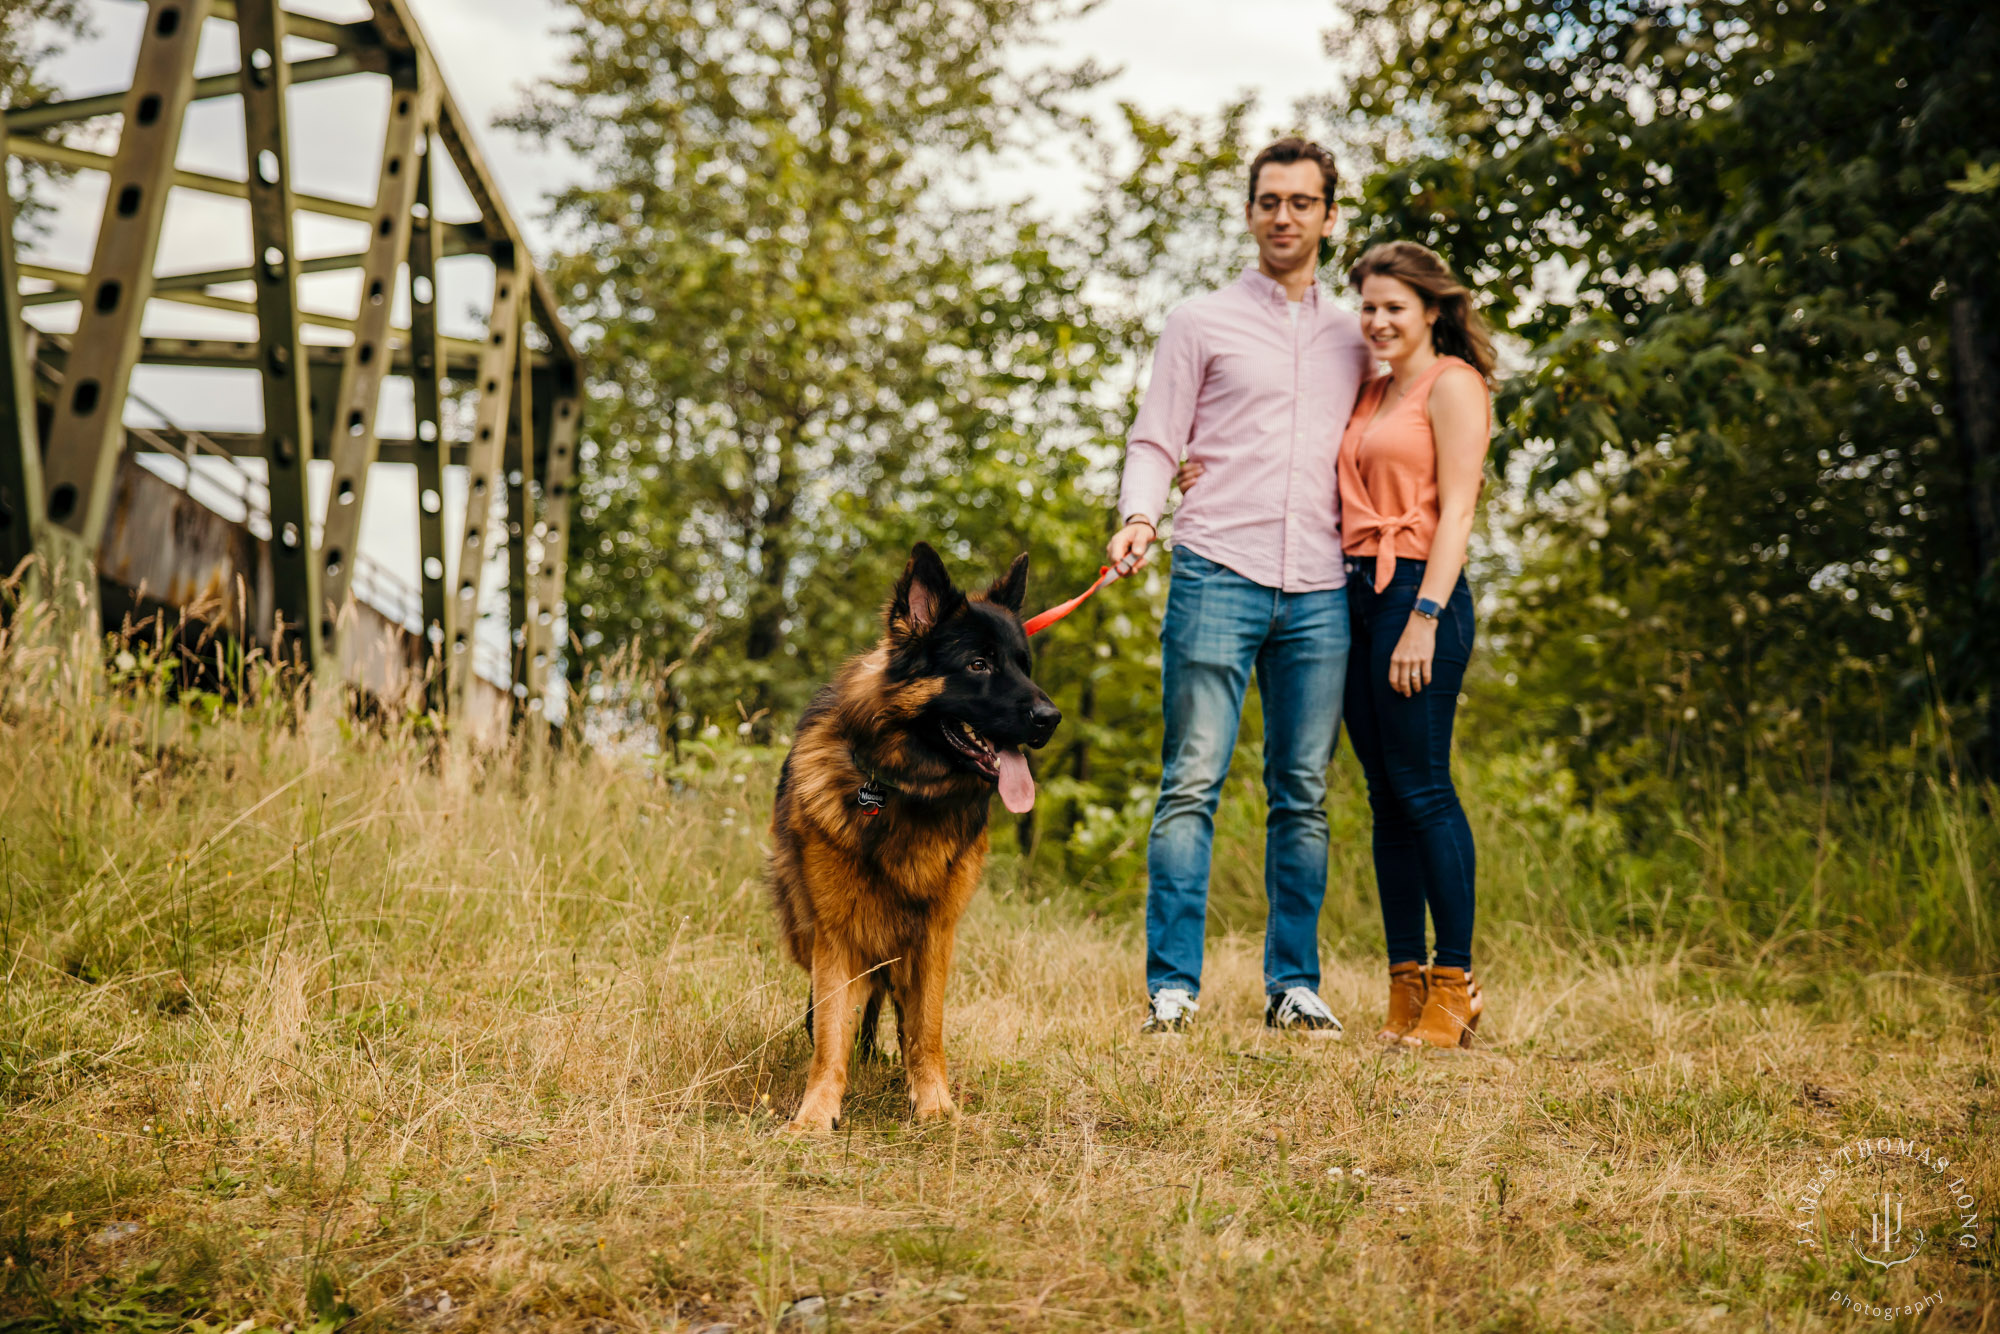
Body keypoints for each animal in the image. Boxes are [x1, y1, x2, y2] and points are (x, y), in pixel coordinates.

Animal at [764, 548, 1064, 1136]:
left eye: (1024, 665)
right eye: (978, 664)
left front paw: (933, 1104)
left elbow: (926, 1027)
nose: (1051, 718)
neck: (901, 790)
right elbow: (830, 1030)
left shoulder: (934, 934)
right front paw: (816, 1112)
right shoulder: (837, 934)